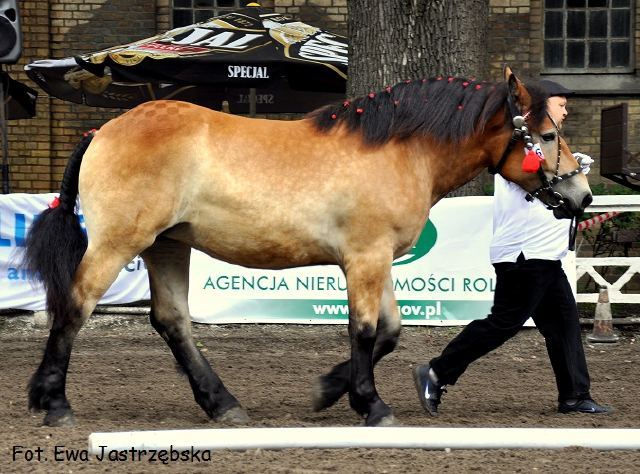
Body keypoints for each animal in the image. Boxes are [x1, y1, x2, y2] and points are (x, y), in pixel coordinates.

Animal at [25, 65, 596, 426]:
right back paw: (53, 403)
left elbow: (390, 330)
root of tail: (104, 130)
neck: (400, 150)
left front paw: (328, 390)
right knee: (74, 305)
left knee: (172, 321)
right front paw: (371, 406)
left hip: (167, 246)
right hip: (118, 243)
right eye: (547, 135)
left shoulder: (377, 260)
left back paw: (222, 404)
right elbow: (365, 330)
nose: (582, 195)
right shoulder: (365, 258)